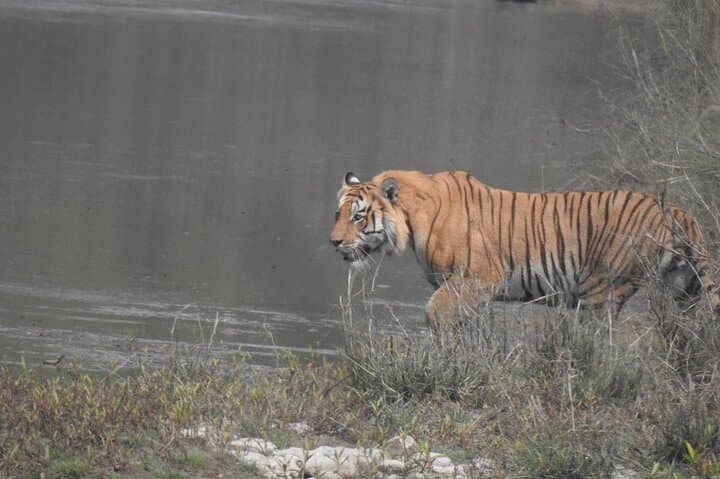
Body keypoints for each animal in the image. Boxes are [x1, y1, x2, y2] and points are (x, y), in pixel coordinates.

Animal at [329, 170, 720, 330]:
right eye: (338, 214)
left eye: (359, 216)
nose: (334, 242)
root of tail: (678, 210)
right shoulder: (467, 288)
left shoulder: (477, 278)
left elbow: (435, 313)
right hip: (683, 290)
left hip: (602, 292)